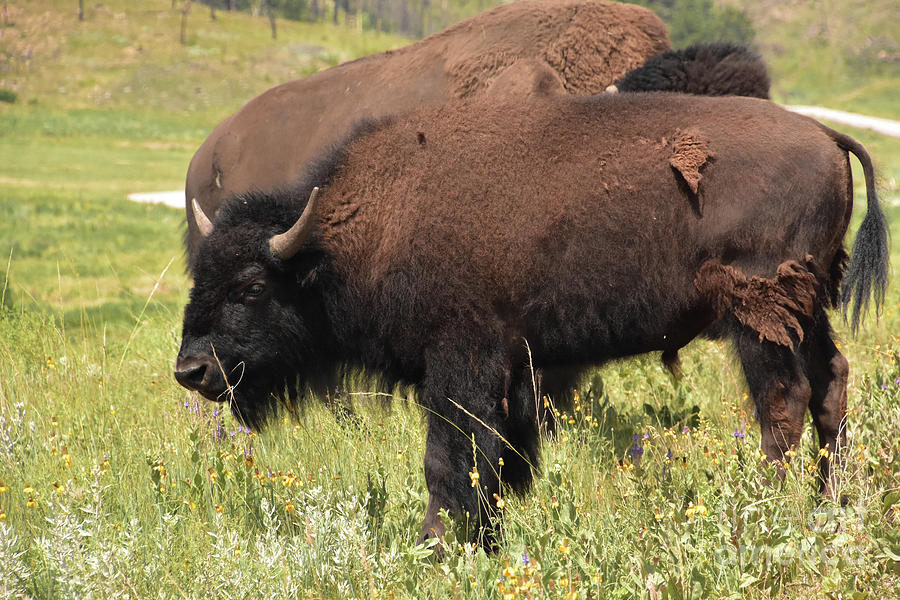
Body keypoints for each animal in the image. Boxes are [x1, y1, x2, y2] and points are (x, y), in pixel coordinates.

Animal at [174, 92, 884, 544]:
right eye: (198, 277)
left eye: (251, 287)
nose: (191, 369)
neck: (340, 240)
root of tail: (826, 137)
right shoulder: (516, 370)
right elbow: (503, 461)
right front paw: (489, 537)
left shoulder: (462, 361)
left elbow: (451, 456)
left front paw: (438, 543)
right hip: (808, 309)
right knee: (830, 384)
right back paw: (833, 508)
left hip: (759, 316)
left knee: (783, 402)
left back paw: (763, 513)